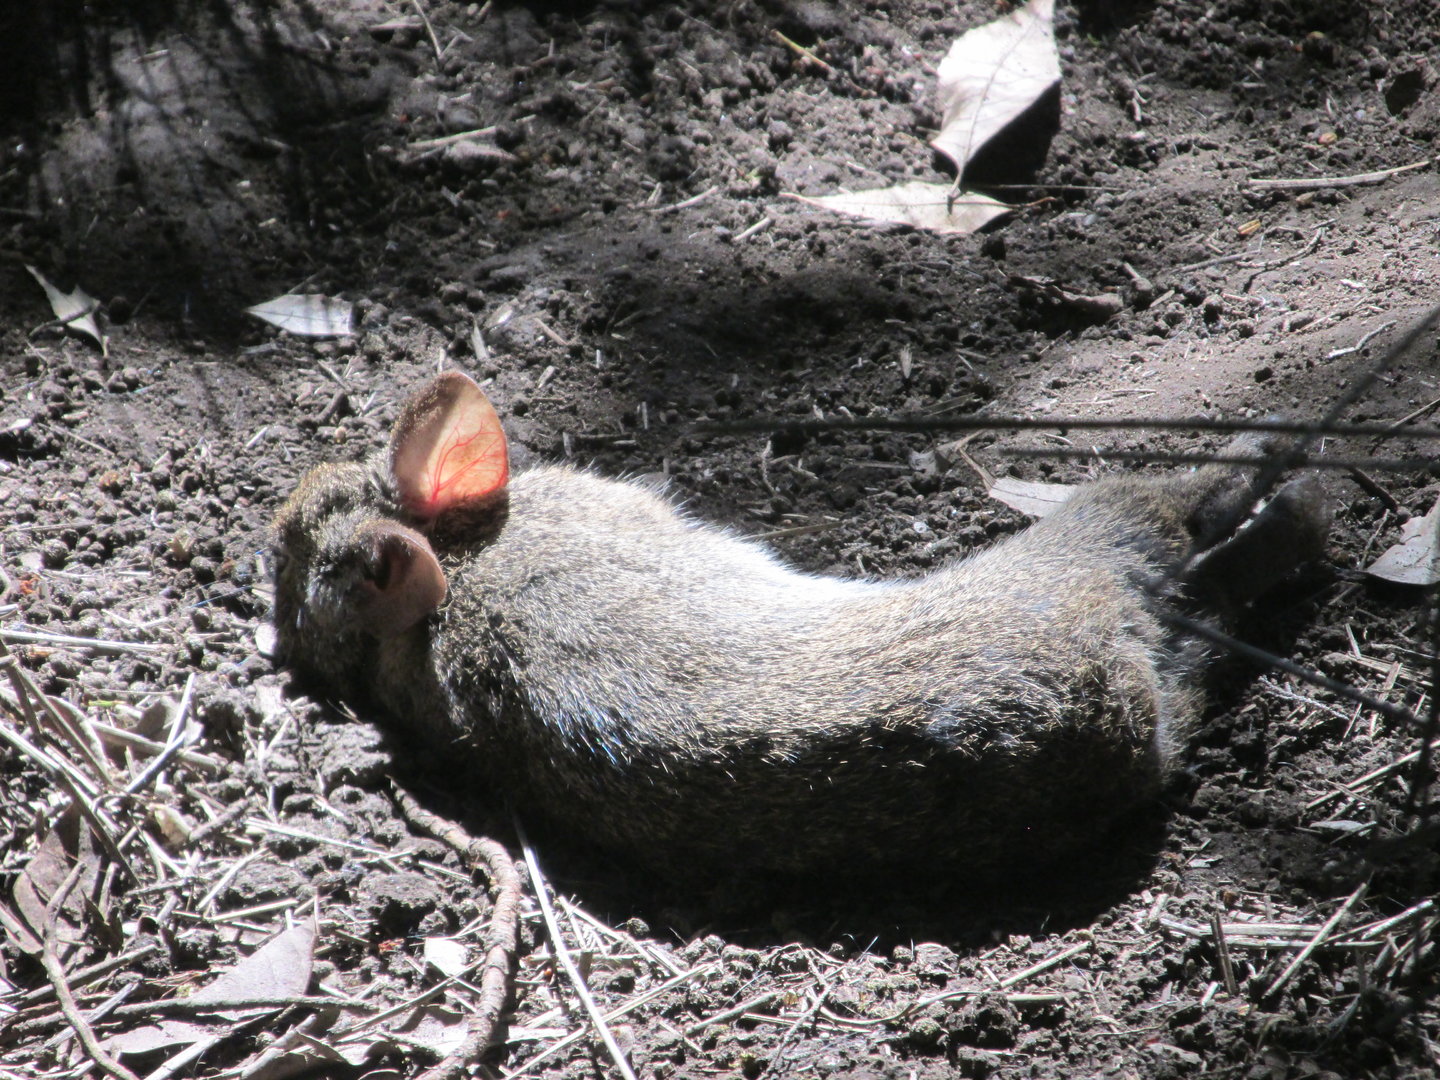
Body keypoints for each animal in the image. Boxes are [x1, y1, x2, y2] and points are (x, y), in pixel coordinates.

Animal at [269, 371, 1329, 882]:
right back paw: (1293, 480)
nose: (270, 620)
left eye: (293, 541)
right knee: (1196, 531)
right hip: (1105, 541)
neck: (464, 577)